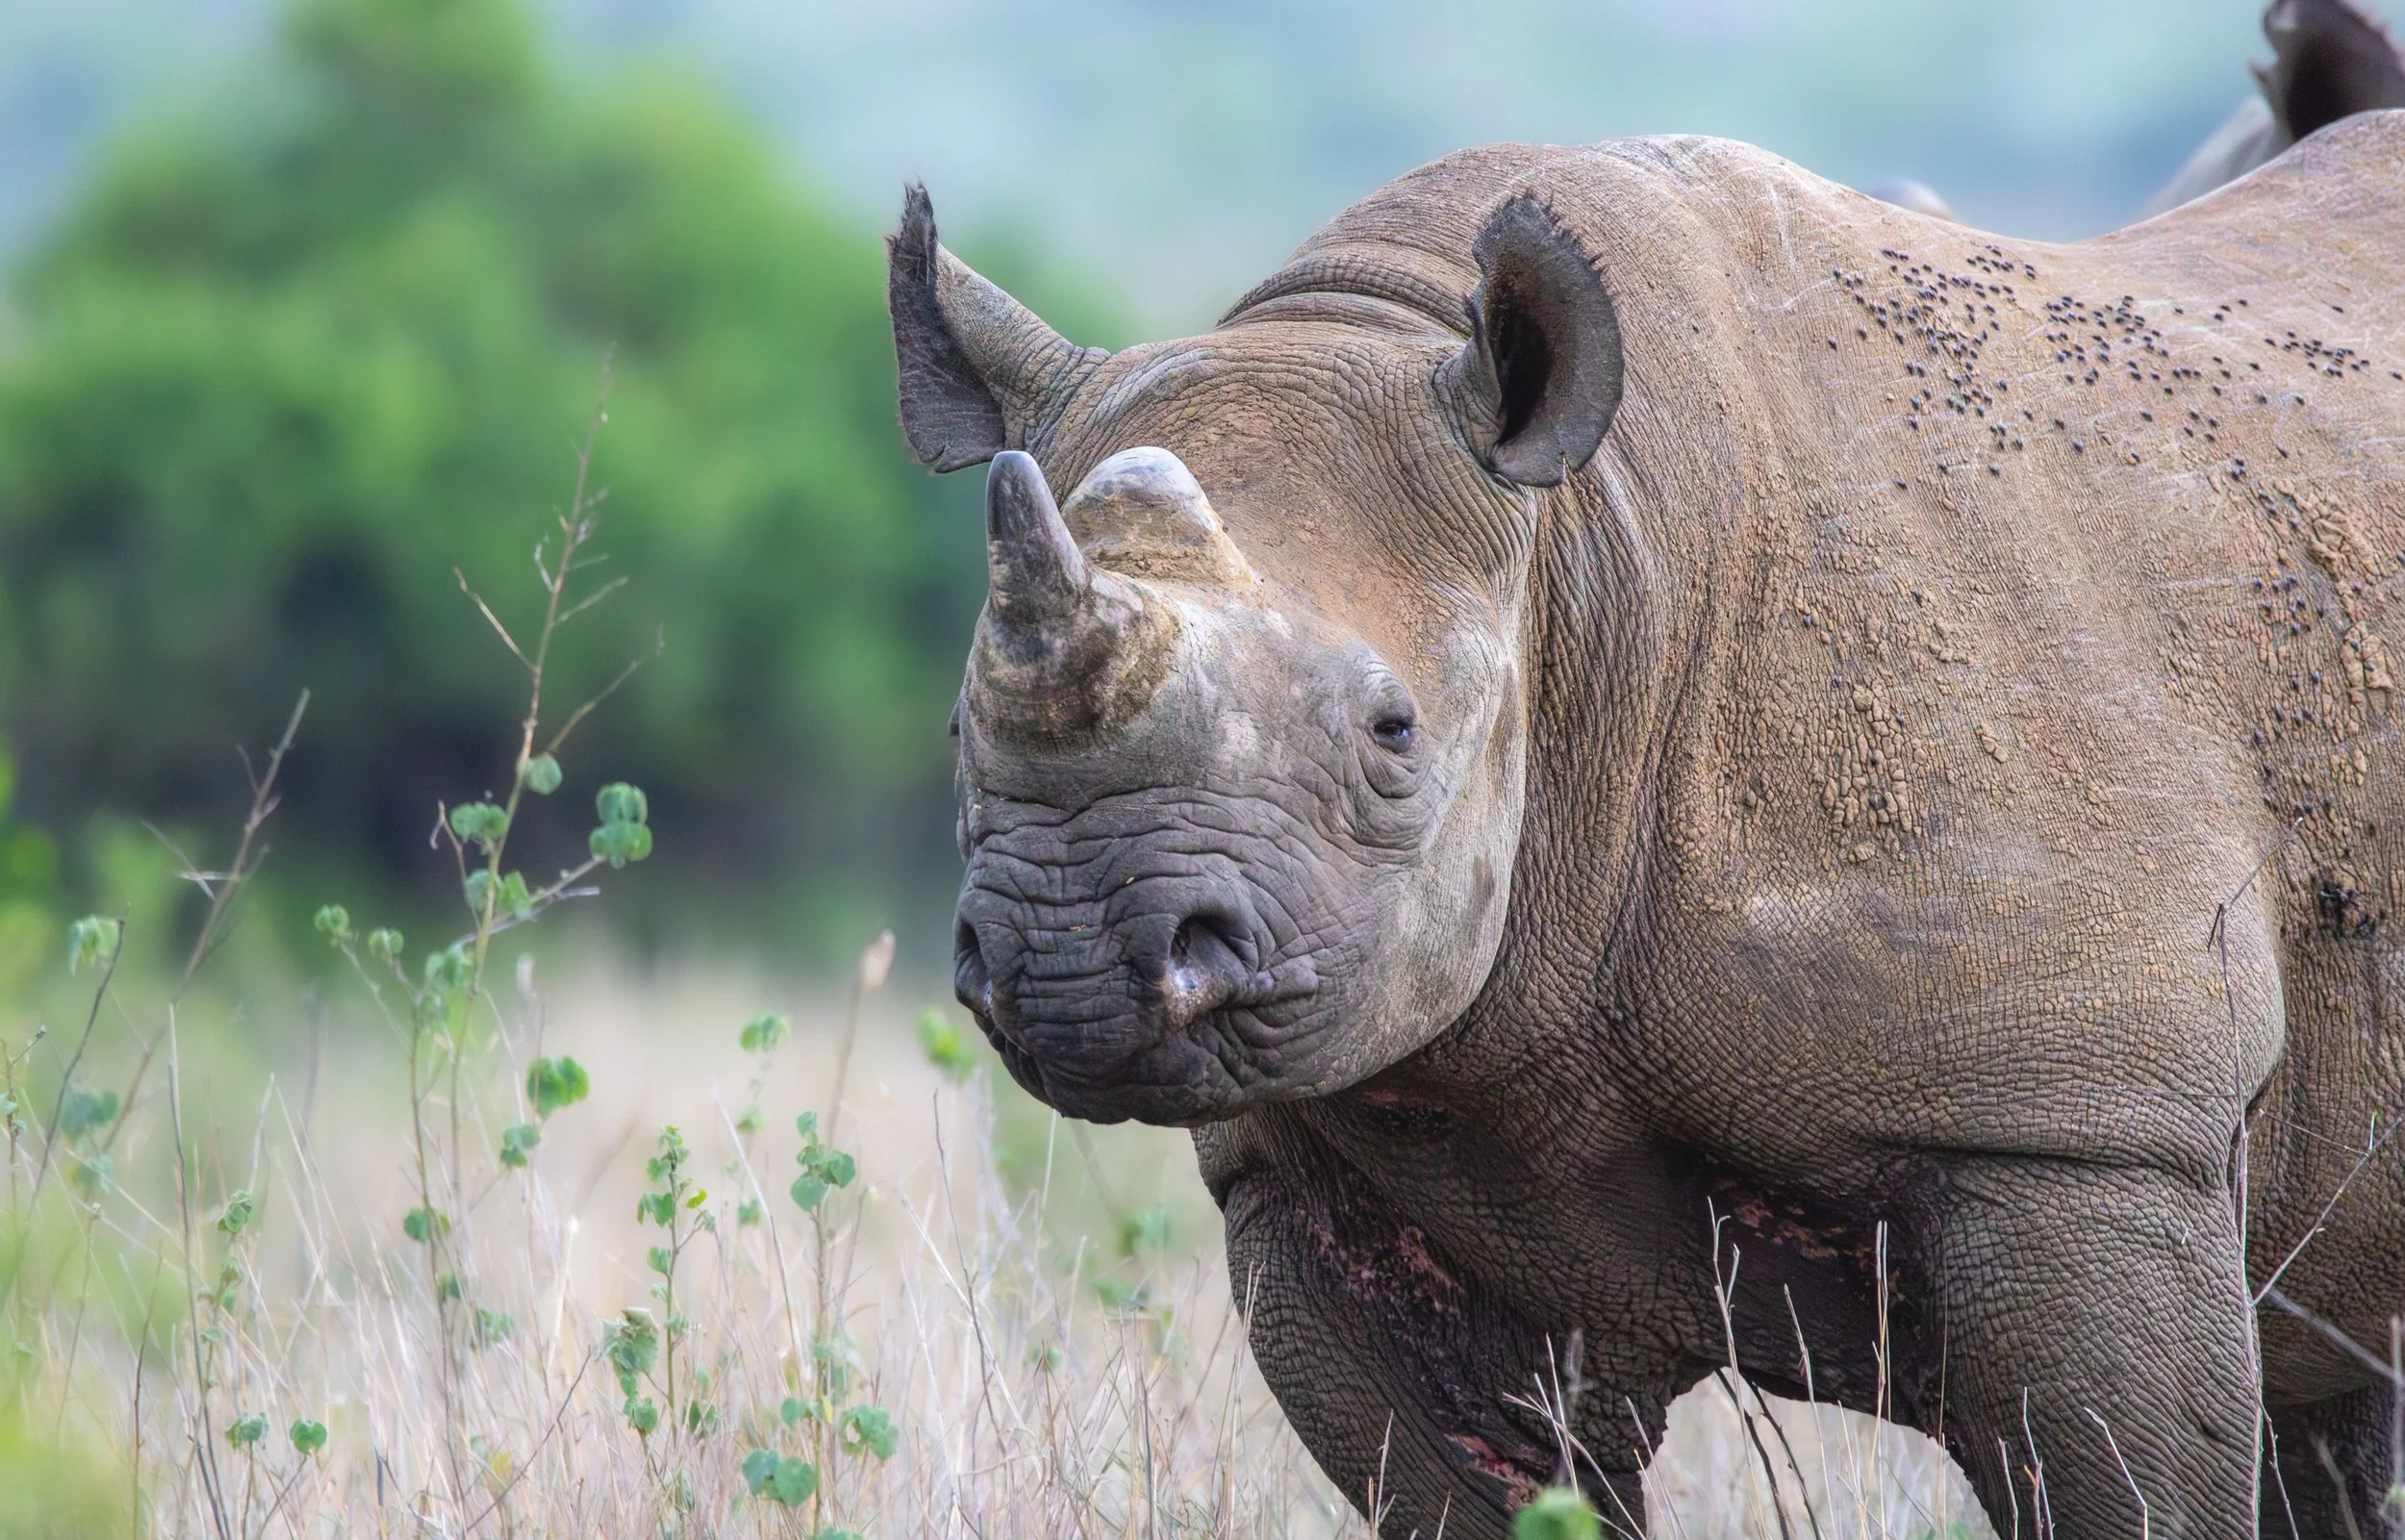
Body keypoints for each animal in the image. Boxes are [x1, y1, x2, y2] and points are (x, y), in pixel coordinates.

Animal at [890, 105, 2405, 1537]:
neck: (1584, 552)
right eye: (958, 735)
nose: (1072, 961)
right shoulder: (1314, 1182)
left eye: (1393, 735)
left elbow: (2129, 1480)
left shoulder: (2085, 1131)